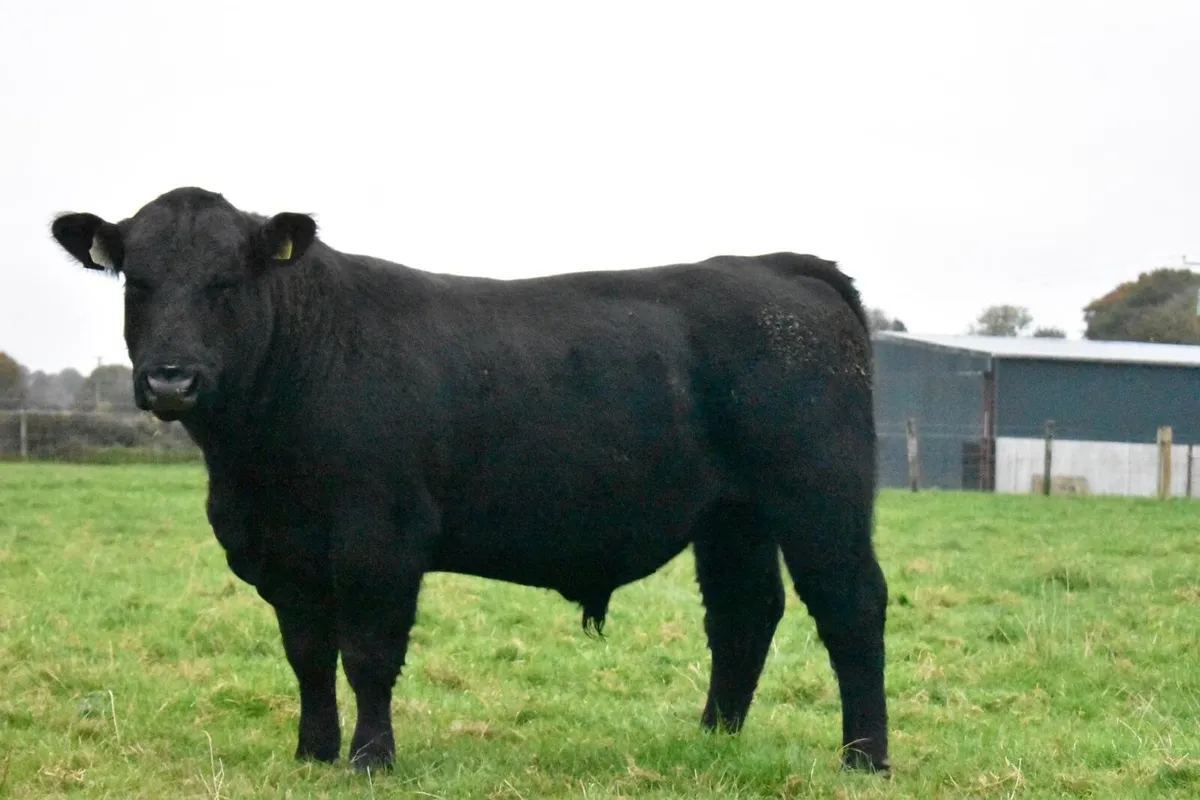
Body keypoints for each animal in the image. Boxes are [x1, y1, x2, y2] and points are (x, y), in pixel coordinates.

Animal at [49, 187, 890, 774]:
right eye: (136, 283)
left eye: (226, 282)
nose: (171, 379)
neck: (255, 468)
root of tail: (777, 265)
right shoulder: (283, 552)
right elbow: (308, 654)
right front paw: (312, 754)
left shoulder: (378, 538)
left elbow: (367, 653)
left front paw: (371, 760)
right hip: (732, 516)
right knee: (744, 614)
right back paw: (714, 742)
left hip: (820, 497)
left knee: (851, 607)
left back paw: (865, 758)